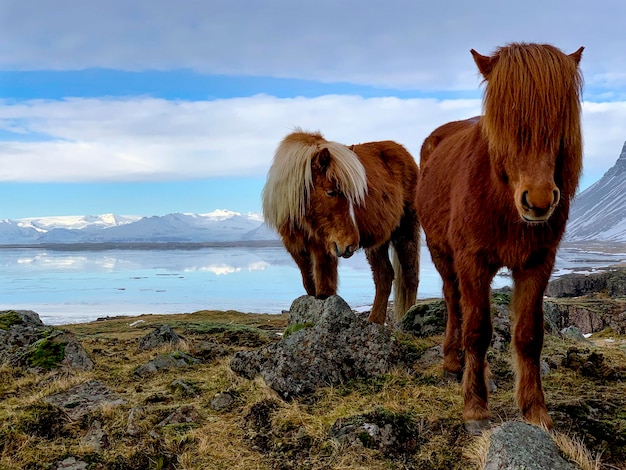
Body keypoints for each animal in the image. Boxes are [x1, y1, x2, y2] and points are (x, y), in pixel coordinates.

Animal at [264, 130, 420, 324]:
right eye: (331, 192)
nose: (350, 245)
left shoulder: (324, 251)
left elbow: (324, 293)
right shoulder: (297, 250)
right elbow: (310, 288)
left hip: (406, 230)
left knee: (410, 276)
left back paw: (407, 317)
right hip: (377, 244)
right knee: (384, 276)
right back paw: (374, 321)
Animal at [416, 44, 584, 434]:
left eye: (560, 121)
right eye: (505, 121)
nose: (538, 200)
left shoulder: (538, 263)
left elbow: (529, 335)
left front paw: (535, 410)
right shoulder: (472, 261)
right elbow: (477, 330)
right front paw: (475, 408)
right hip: (441, 253)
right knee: (455, 303)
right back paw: (454, 363)